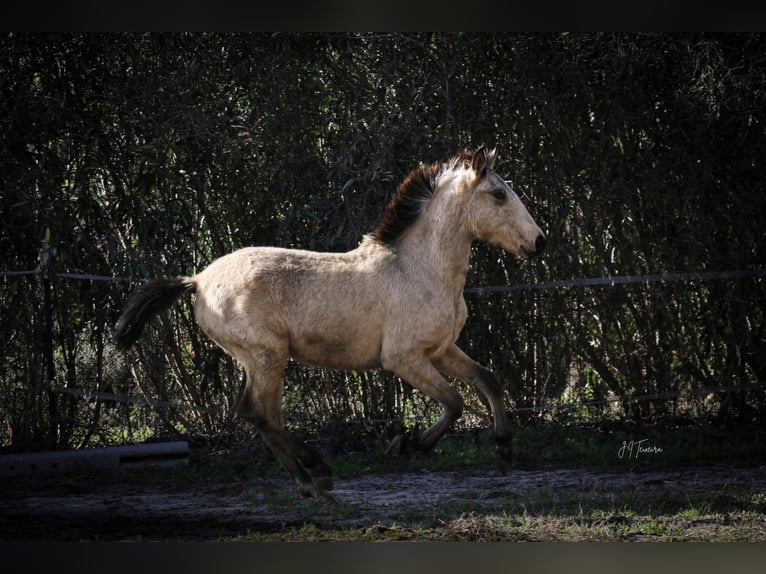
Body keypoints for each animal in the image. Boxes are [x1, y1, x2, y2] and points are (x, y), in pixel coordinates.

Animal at [112, 147, 544, 500]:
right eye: (499, 194)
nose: (539, 242)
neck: (420, 270)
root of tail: (198, 279)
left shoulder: (440, 350)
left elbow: (488, 379)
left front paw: (504, 451)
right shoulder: (403, 358)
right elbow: (454, 402)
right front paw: (407, 445)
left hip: (265, 360)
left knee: (268, 415)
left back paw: (309, 483)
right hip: (265, 353)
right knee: (254, 412)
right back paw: (318, 470)